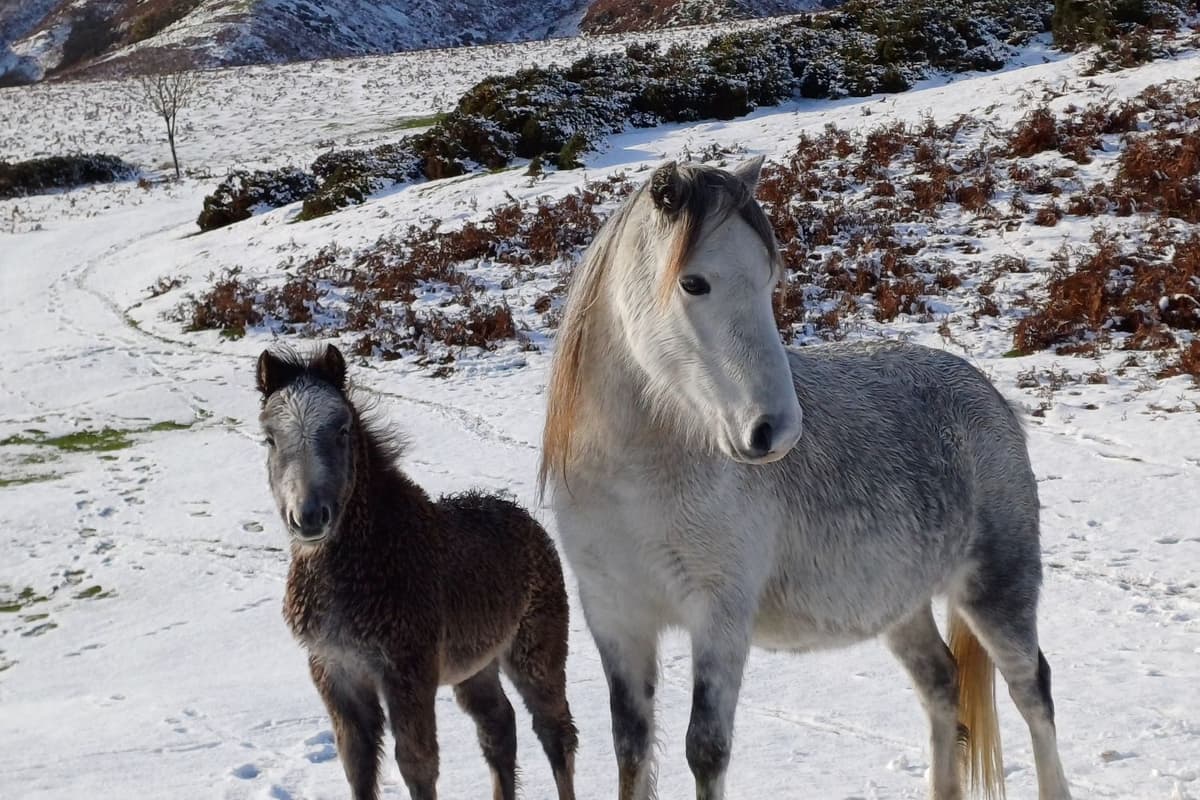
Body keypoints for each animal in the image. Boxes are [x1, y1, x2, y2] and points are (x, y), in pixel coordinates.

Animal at [257, 344, 577, 800]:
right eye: (269, 437)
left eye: (342, 429)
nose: (310, 517)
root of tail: (531, 526)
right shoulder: (335, 672)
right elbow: (357, 764)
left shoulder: (407, 671)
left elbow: (417, 764)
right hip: (476, 667)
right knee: (499, 728)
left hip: (536, 652)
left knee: (555, 731)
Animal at [538, 157, 1072, 800]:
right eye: (694, 283)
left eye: (768, 282)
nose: (777, 431)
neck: (636, 478)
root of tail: (990, 395)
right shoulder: (617, 621)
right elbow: (631, 750)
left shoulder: (719, 620)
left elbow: (706, 750)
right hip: (903, 607)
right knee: (942, 684)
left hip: (997, 590)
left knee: (1033, 691)